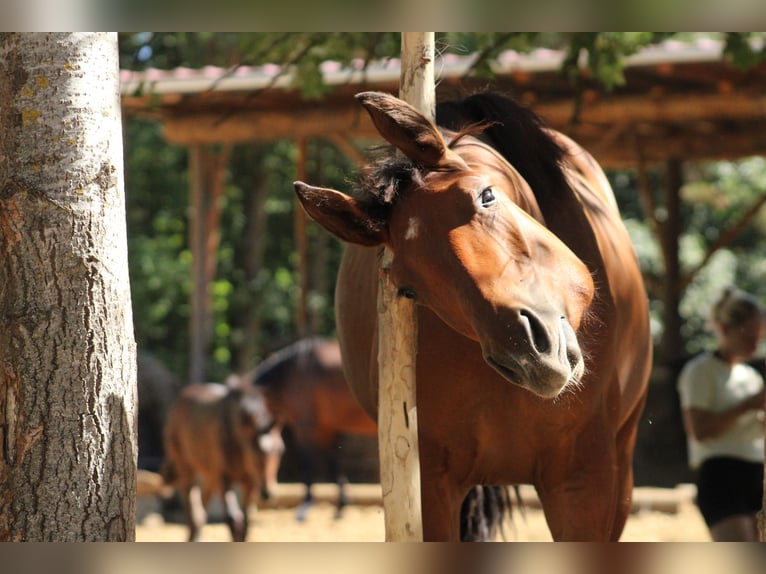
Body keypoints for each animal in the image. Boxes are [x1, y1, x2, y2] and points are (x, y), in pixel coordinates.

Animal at [161, 379, 282, 541]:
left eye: (280, 451)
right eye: (253, 451)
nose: (267, 493)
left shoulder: (250, 481)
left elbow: (246, 522)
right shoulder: (224, 478)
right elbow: (232, 518)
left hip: (210, 475)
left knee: (203, 504)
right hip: (186, 467)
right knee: (192, 505)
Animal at [245, 337, 378, 521]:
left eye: (278, 451)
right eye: (252, 451)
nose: (266, 494)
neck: (291, 373)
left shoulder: (305, 427)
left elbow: (307, 464)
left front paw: (305, 506)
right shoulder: (328, 428)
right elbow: (334, 464)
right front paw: (341, 505)